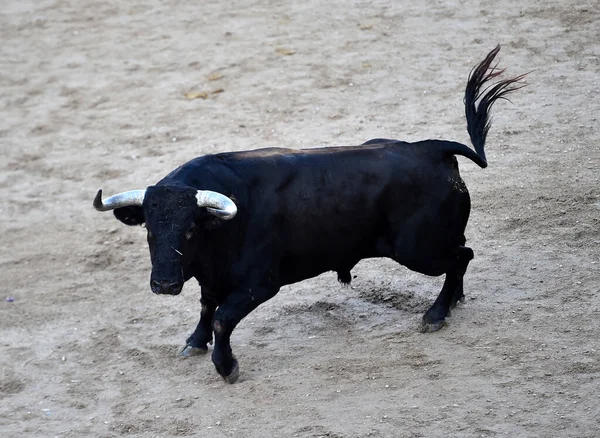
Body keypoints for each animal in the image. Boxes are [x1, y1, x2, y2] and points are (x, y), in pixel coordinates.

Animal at [94, 47, 524, 384]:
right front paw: (194, 343)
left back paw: (435, 313)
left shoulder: (260, 284)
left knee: (461, 256)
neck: (220, 231)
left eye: (189, 231)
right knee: (461, 254)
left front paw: (226, 366)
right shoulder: (211, 277)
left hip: (419, 250)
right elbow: (206, 306)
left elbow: (221, 318)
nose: (164, 284)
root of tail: (432, 149)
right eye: (149, 230)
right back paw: (453, 301)